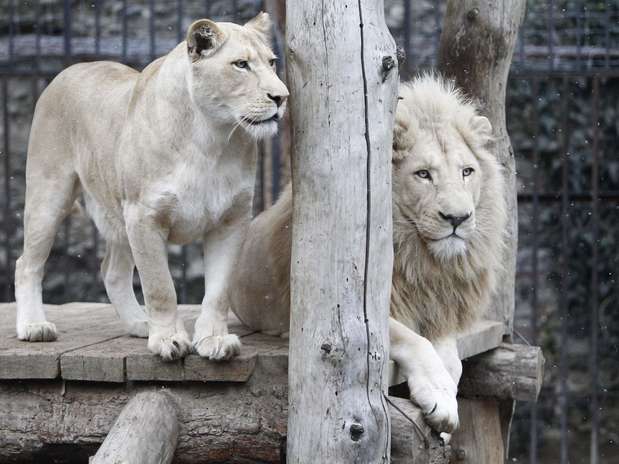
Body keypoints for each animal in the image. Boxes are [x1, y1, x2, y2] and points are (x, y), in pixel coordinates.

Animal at [13, 12, 286, 362]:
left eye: (272, 62)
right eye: (241, 65)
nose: (281, 97)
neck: (210, 138)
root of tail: (70, 69)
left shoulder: (232, 220)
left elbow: (218, 291)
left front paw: (213, 340)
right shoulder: (144, 216)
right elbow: (160, 286)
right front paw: (168, 339)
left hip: (118, 214)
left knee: (112, 271)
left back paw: (139, 323)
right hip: (49, 194)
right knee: (27, 264)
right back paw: (34, 326)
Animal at [230, 74, 506, 434]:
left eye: (467, 172)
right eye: (423, 174)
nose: (458, 218)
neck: (421, 259)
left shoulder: (440, 311)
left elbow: (452, 358)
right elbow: (416, 342)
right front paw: (440, 399)